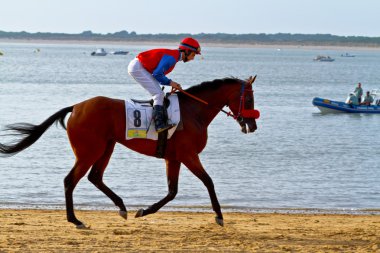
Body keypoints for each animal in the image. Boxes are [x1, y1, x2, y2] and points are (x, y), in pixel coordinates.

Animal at [0, 76, 260, 228]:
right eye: (248, 99)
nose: (252, 125)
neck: (193, 111)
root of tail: (76, 107)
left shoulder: (174, 157)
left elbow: (172, 191)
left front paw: (143, 211)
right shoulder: (188, 156)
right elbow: (208, 182)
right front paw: (219, 216)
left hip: (107, 146)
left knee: (95, 177)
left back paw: (122, 207)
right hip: (89, 150)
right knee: (70, 180)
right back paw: (75, 220)